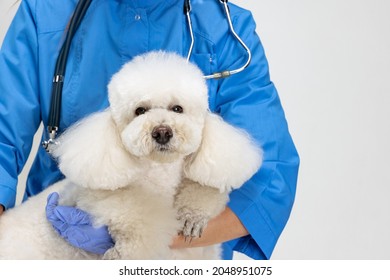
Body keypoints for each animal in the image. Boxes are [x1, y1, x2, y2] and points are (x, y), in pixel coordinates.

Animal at [0, 51, 262, 260]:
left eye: (177, 109)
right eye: (140, 111)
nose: (162, 132)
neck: (160, 176)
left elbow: (203, 188)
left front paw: (193, 216)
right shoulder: (93, 198)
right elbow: (139, 212)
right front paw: (120, 253)